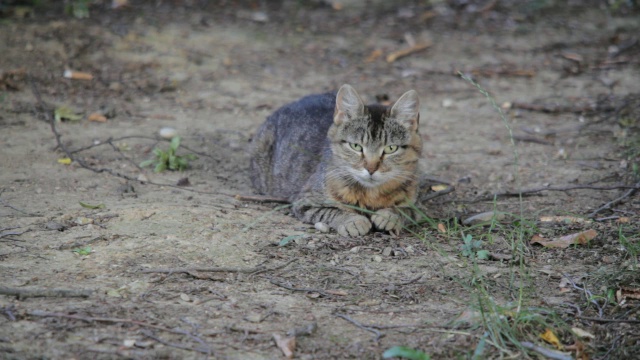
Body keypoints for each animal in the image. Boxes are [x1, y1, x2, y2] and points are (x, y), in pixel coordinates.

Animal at [251, 84, 424, 236]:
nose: (371, 169)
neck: (370, 194)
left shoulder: (417, 205)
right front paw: (353, 221)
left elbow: (405, 211)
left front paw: (389, 215)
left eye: (391, 148)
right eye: (356, 146)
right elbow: (332, 211)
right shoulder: (305, 202)